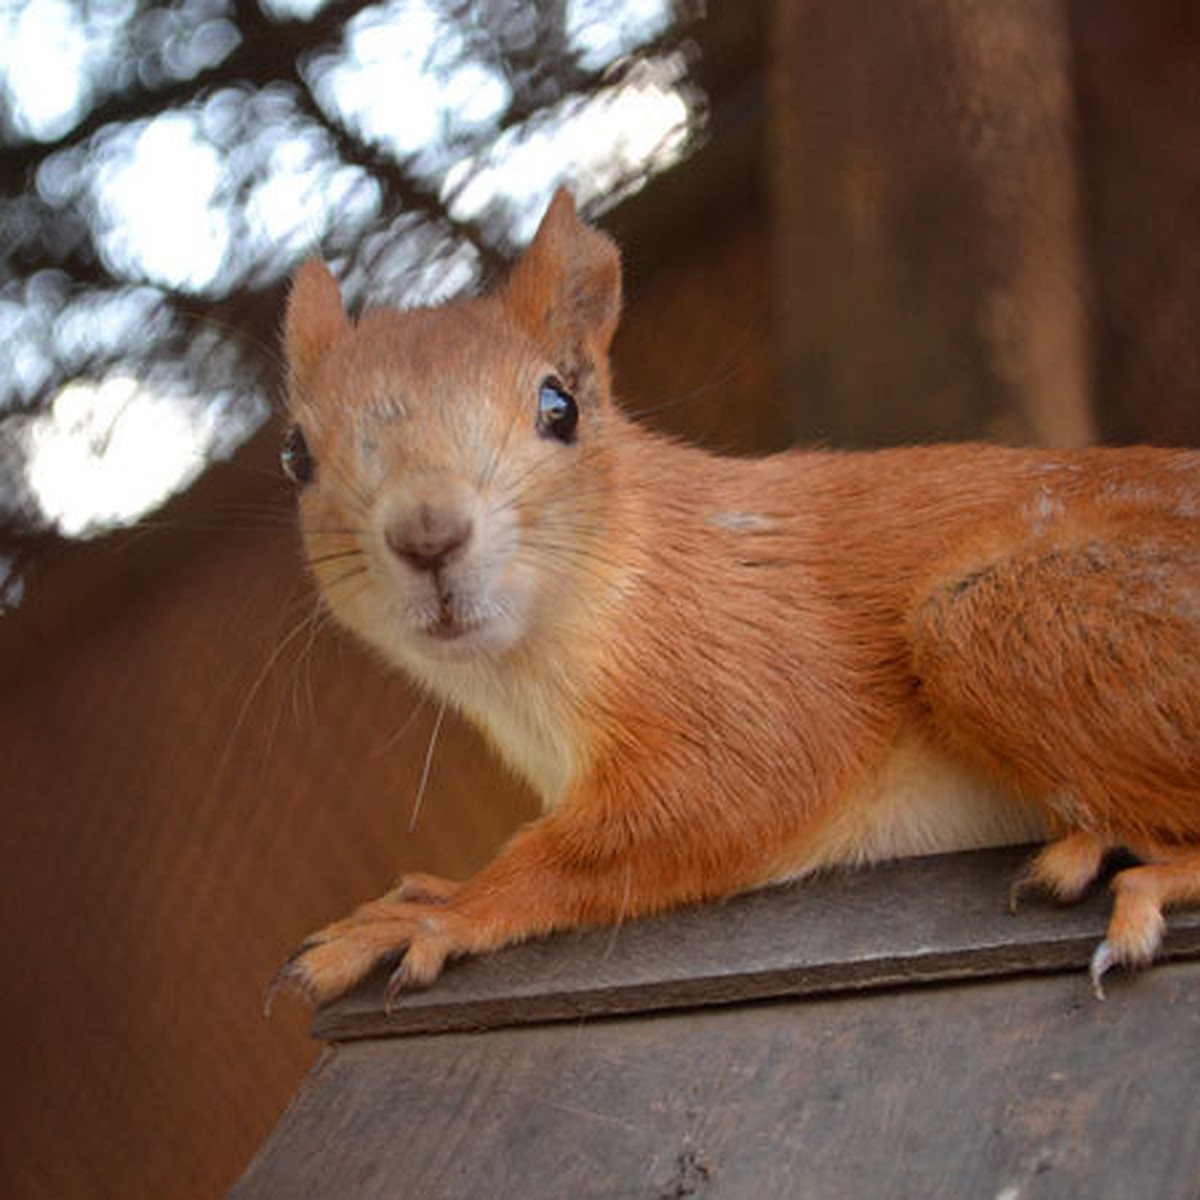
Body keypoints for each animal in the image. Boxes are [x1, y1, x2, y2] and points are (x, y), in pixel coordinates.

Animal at [270, 189, 1200, 1012]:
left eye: (559, 405)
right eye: (295, 454)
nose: (428, 535)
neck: (525, 672)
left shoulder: (749, 655)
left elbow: (710, 796)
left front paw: (434, 912)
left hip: (999, 621)